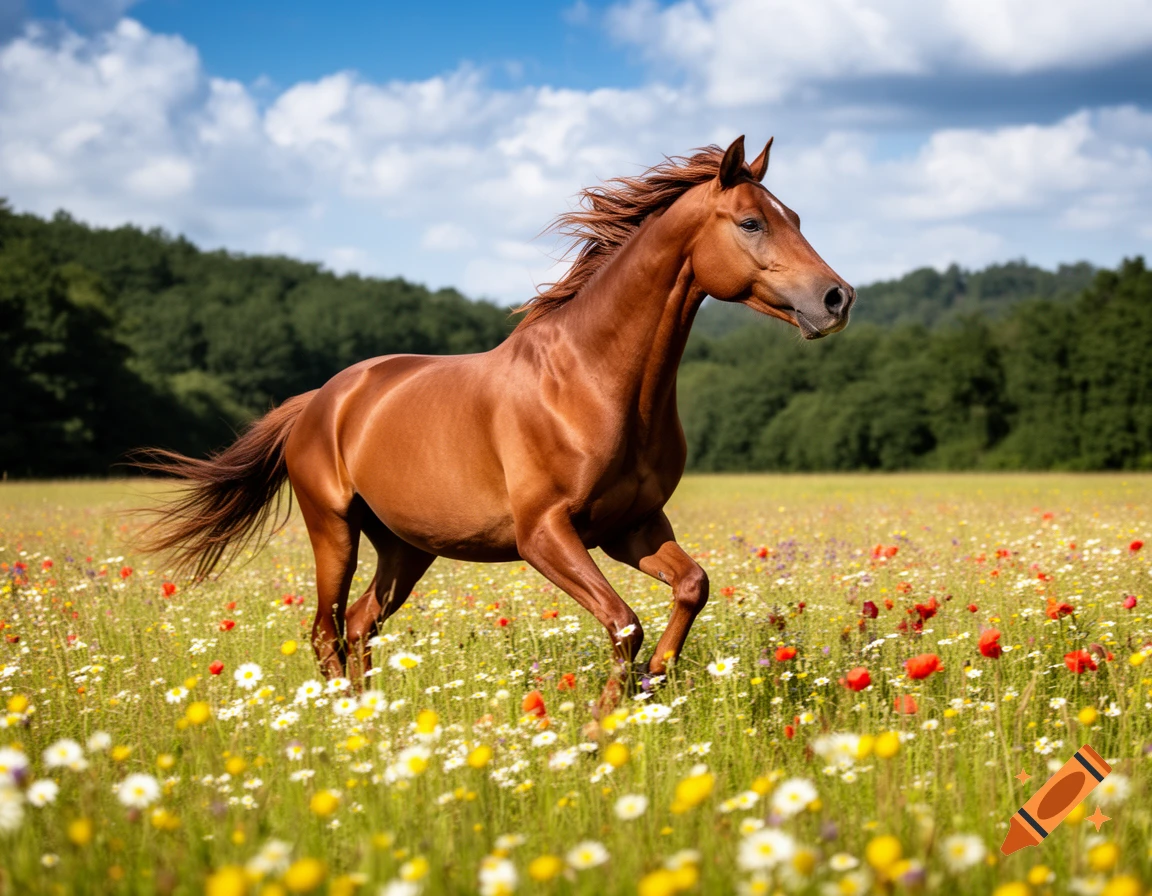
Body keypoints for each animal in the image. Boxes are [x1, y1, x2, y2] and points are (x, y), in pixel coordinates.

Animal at [137, 135, 855, 719]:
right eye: (752, 222)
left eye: (795, 217)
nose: (838, 299)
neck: (592, 381)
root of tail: (321, 400)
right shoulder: (545, 535)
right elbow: (624, 623)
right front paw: (599, 724)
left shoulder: (632, 527)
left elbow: (691, 587)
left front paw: (654, 682)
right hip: (333, 530)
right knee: (326, 630)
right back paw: (346, 723)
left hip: (406, 546)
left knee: (363, 623)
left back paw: (375, 723)